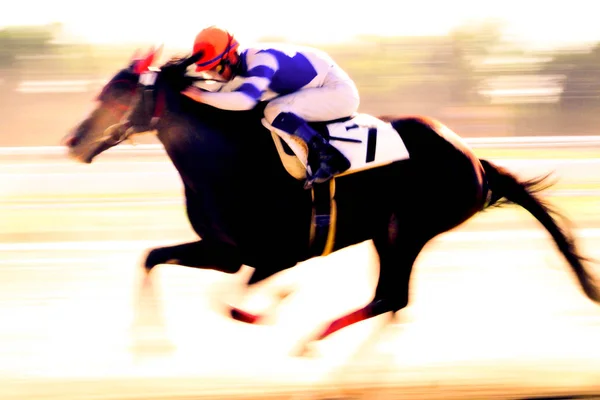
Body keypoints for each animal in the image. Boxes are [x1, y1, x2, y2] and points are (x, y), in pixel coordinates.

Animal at [62, 47, 600, 354]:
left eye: (115, 96)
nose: (72, 140)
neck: (228, 159)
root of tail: (473, 159)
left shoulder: (276, 254)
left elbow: (234, 305)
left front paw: (276, 304)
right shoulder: (224, 252)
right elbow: (153, 258)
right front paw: (149, 342)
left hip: (408, 228)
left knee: (391, 297)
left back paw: (316, 344)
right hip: (393, 233)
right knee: (393, 302)